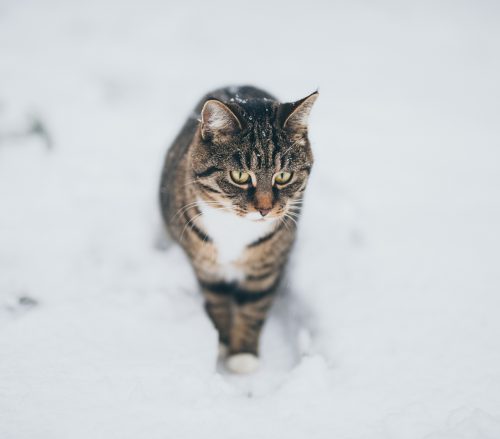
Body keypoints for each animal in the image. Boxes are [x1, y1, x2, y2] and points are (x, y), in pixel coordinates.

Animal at [158, 86, 318, 374]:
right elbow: (217, 301)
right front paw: (221, 342)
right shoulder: (206, 266)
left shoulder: (266, 268)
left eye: (283, 176)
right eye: (240, 176)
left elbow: (254, 306)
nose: (265, 209)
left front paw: (243, 354)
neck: (235, 229)